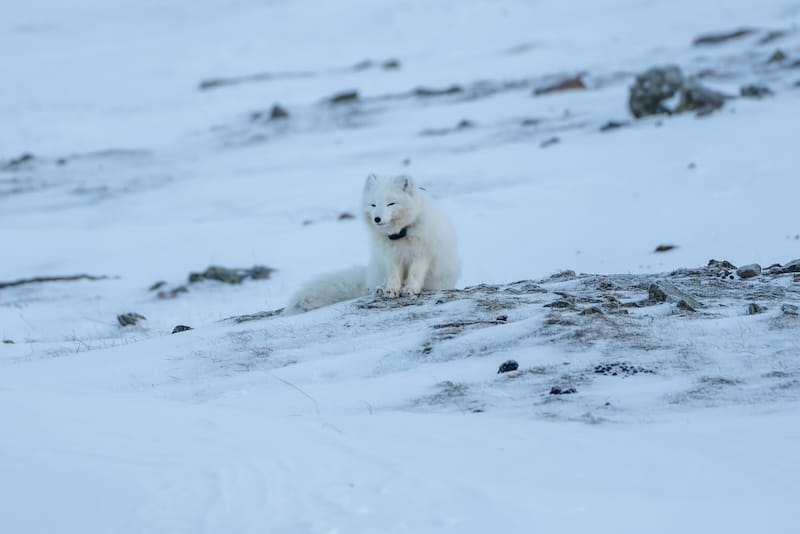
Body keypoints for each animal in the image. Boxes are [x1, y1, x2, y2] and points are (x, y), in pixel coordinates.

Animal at [288, 174, 462, 314]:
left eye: (391, 203)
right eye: (373, 204)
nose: (377, 219)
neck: (400, 235)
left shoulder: (422, 253)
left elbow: (414, 273)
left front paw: (410, 289)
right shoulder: (390, 256)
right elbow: (393, 275)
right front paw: (391, 290)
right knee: (378, 283)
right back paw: (379, 289)